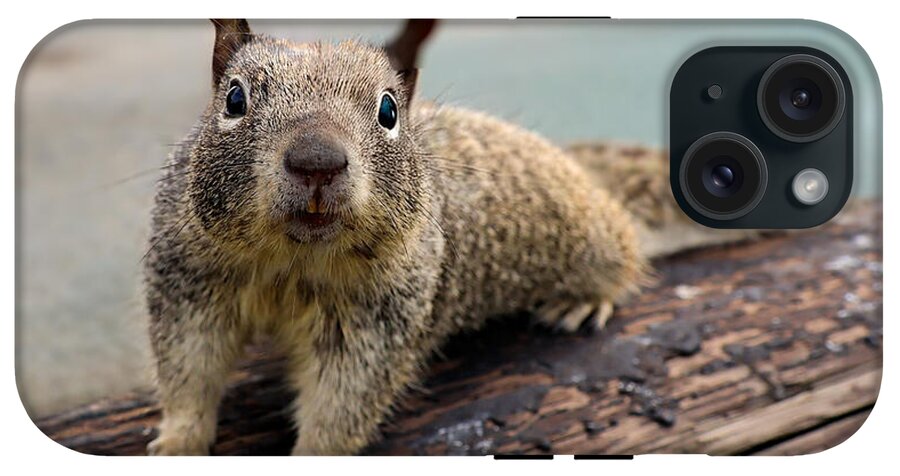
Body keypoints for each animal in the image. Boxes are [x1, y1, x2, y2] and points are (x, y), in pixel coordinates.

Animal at [145, 19, 753, 455]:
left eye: (389, 110)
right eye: (235, 99)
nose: (317, 161)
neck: (292, 262)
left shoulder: (378, 321)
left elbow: (342, 404)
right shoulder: (190, 284)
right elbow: (188, 371)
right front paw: (176, 443)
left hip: (593, 237)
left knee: (623, 253)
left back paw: (583, 299)